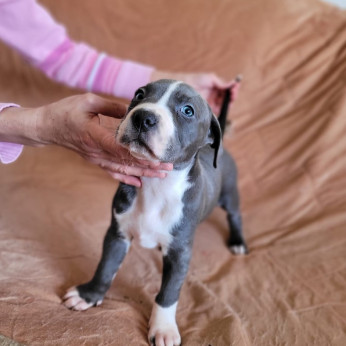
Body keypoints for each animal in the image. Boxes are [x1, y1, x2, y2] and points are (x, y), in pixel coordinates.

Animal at [62, 79, 246, 346]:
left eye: (188, 110)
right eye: (139, 94)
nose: (144, 117)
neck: (156, 185)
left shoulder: (180, 252)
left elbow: (169, 292)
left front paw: (163, 328)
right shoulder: (117, 233)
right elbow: (106, 267)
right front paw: (89, 294)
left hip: (230, 194)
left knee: (235, 215)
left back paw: (238, 241)